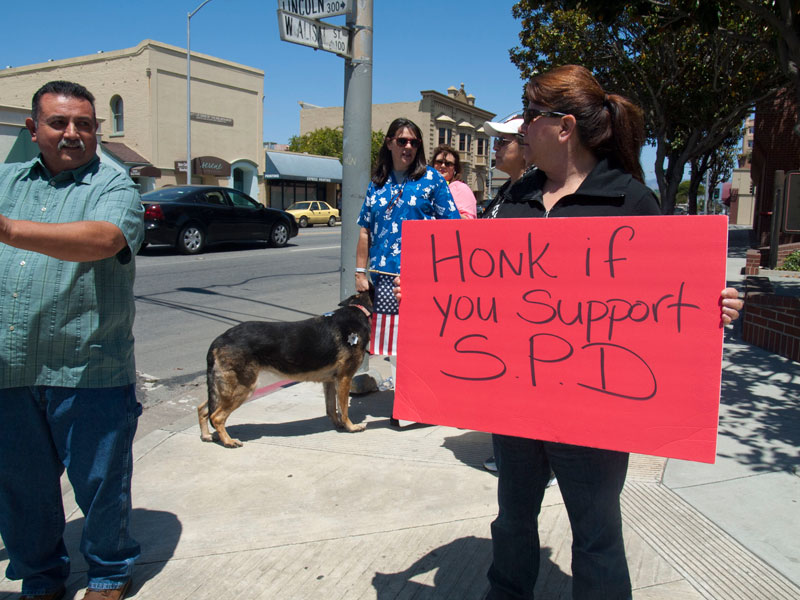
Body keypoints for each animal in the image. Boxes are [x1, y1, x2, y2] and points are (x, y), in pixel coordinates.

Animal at [200, 288, 376, 448]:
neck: (360, 309)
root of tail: (219, 339)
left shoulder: (330, 381)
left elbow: (332, 408)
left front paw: (338, 425)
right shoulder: (345, 378)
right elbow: (344, 408)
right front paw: (351, 427)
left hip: (224, 389)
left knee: (203, 409)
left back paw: (207, 436)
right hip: (242, 388)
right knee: (216, 417)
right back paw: (228, 441)